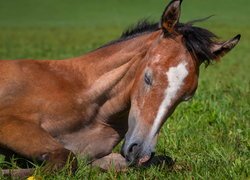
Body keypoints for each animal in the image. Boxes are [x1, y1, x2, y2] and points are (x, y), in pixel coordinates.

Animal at [0, 0, 240, 177]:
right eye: (148, 78)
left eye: (185, 97)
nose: (140, 151)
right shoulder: (10, 122)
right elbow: (65, 160)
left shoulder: (97, 155)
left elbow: (164, 161)